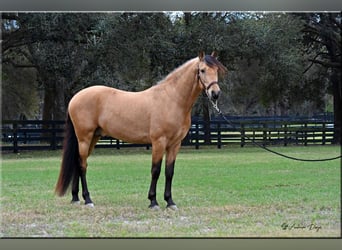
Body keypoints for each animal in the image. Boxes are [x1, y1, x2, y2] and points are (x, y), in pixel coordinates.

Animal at [54, 50, 227, 209]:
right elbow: (155, 170)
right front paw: (153, 201)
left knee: (77, 162)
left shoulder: (175, 144)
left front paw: (170, 202)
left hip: (92, 138)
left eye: (216, 70)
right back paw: (88, 199)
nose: (215, 93)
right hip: (84, 138)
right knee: (82, 165)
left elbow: (169, 172)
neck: (172, 99)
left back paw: (76, 198)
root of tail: (75, 97)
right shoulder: (158, 142)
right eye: (202, 70)